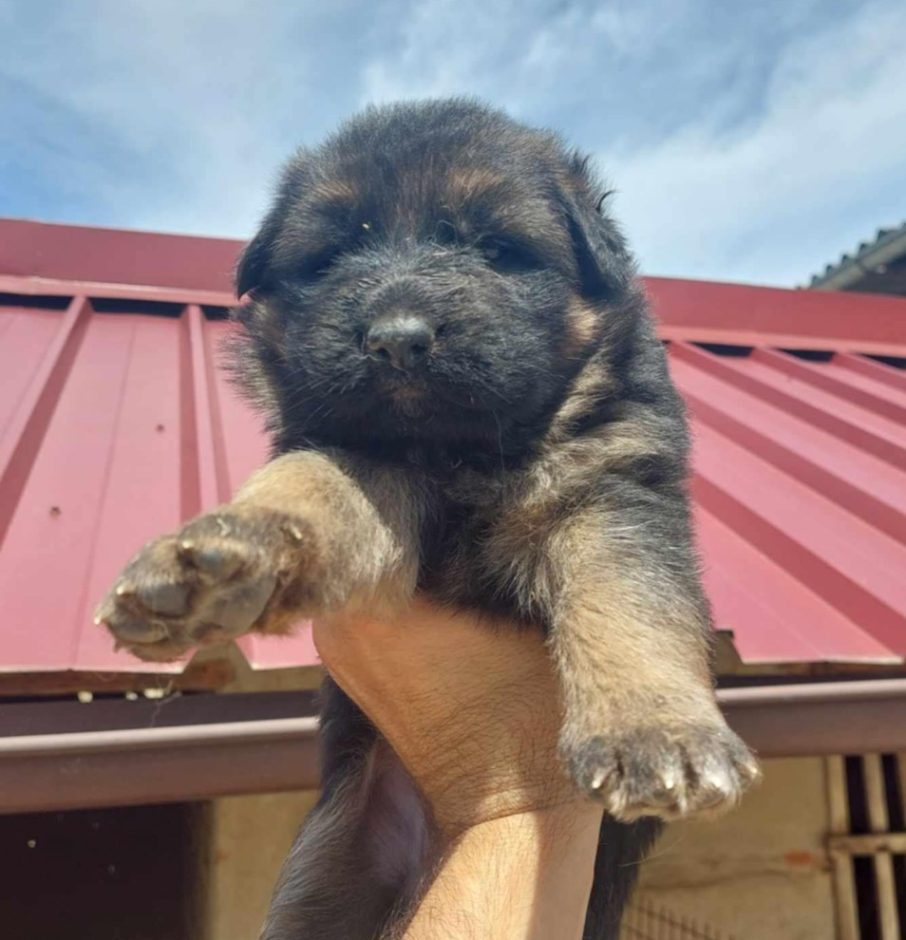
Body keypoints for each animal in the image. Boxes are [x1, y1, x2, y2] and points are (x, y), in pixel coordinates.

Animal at [96, 99, 759, 939]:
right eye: (333, 255)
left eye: (495, 248)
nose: (396, 341)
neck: (455, 452)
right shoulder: (361, 456)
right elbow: (311, 482)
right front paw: (225, 550)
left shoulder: (612, 490)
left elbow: (624, 600)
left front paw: (656, 730)